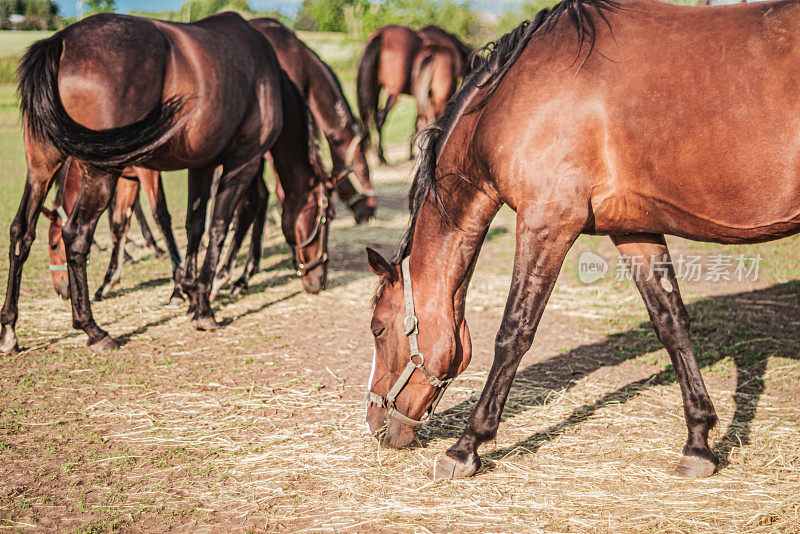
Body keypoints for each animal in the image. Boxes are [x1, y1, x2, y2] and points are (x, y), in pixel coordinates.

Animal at [42, 159, 184, 306]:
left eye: (53, 246)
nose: (59, 290)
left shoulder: (148, 172)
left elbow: (160, 216)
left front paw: (178, 288)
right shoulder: (128, 178)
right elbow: (120, 222)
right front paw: (107, 284)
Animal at [356, 23, 468, 165]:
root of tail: (381, 35)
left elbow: (418, 119)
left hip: (376, 88)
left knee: (368, 115)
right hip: (394, 93)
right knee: (380, 117)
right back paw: (382, 156)